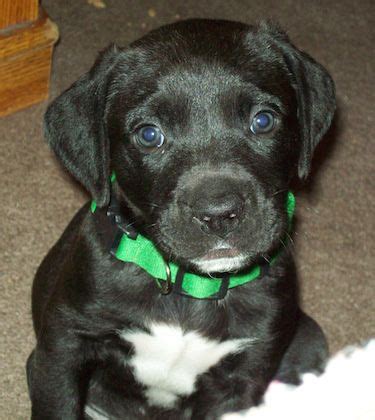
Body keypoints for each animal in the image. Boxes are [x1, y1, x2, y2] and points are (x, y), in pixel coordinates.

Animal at [27, 18, 336, 416]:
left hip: (309, 339)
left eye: (264, 120)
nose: (219, 214)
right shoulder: (62, 350)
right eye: (149, 135)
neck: (189, 287)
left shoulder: (240, 381)